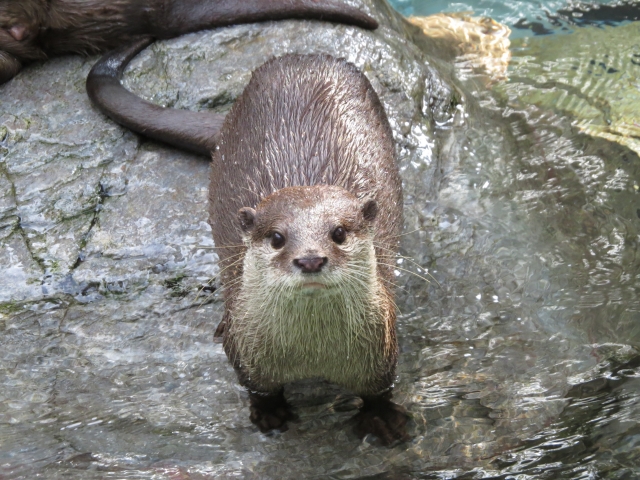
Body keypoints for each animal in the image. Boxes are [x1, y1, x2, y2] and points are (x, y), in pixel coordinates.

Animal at [86, 39, 410, 444]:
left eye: (338, 232)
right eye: (277, 237)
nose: (310, 260)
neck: (313, 354)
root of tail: (301, 58)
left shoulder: (383, 350)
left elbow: (379, 392)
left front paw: (382, 419)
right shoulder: (246, 354)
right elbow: (258, 389)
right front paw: (269, 414)